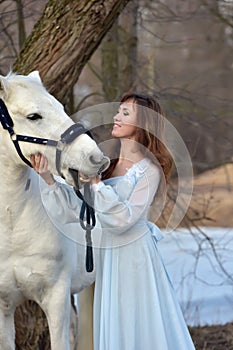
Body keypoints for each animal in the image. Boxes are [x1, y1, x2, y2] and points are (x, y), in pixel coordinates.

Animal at [0, 72, 109, 350]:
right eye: (33, 116)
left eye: (60, 107)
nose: (95, 158)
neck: (12, 224)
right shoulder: (3, 306)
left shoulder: (56, 296)